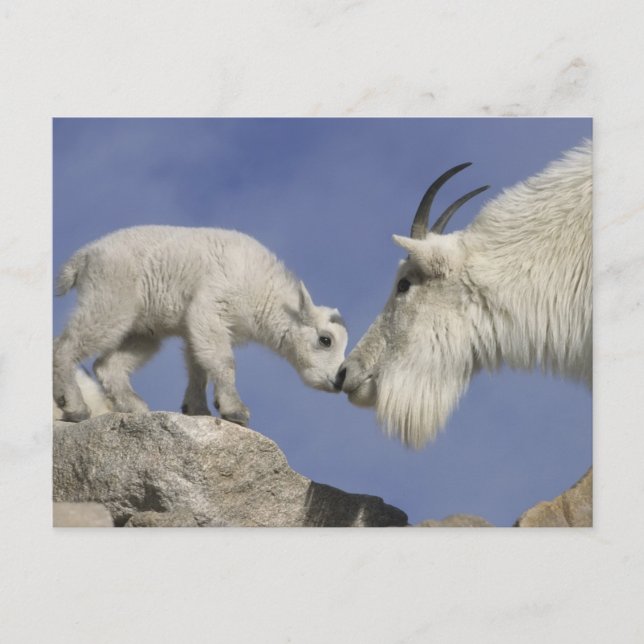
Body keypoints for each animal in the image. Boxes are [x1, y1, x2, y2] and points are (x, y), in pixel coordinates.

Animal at [54, 226, 348, 425]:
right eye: (326, 340)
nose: (338, 380)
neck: (265, 294)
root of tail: (84, 256)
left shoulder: (194, 325)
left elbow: (198, 365)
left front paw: (197, 409)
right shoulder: (212, 307)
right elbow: (222, 360)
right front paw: (235, 409)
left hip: (144, 327)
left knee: (107, 364)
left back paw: (135, 405)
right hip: (111, 296)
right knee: (67, 345)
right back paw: (74, 406)